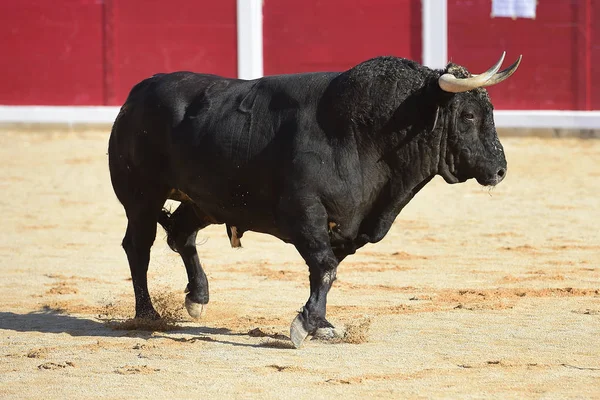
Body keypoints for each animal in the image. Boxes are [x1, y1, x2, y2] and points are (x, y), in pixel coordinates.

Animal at [109, 54, 520, 348]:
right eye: (468, 116)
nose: (500, 170)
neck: (365, 134)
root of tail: (138, 92)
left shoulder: (349, 226)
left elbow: (326, 270)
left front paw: (320, 324)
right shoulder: (303, 214)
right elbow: (324, 267)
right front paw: (305, 325)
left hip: (205, 201)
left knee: (181, 234)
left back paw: (197, 297)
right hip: (141, 197)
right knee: (138, 246)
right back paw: (147, 314)